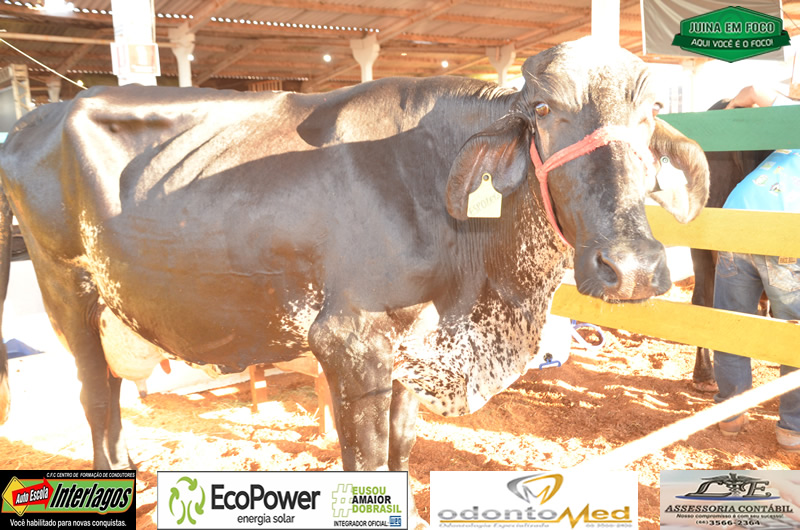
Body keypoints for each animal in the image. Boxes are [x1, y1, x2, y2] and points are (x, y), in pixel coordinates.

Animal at [0, 37, 709, 503]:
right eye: (542, 112)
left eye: (649, 116)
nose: (631, 267)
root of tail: (38, 115)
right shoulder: (348, 342)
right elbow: (364, 465)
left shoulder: (411, 349)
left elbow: (399, 452)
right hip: (67, 289)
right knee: (98, 402)